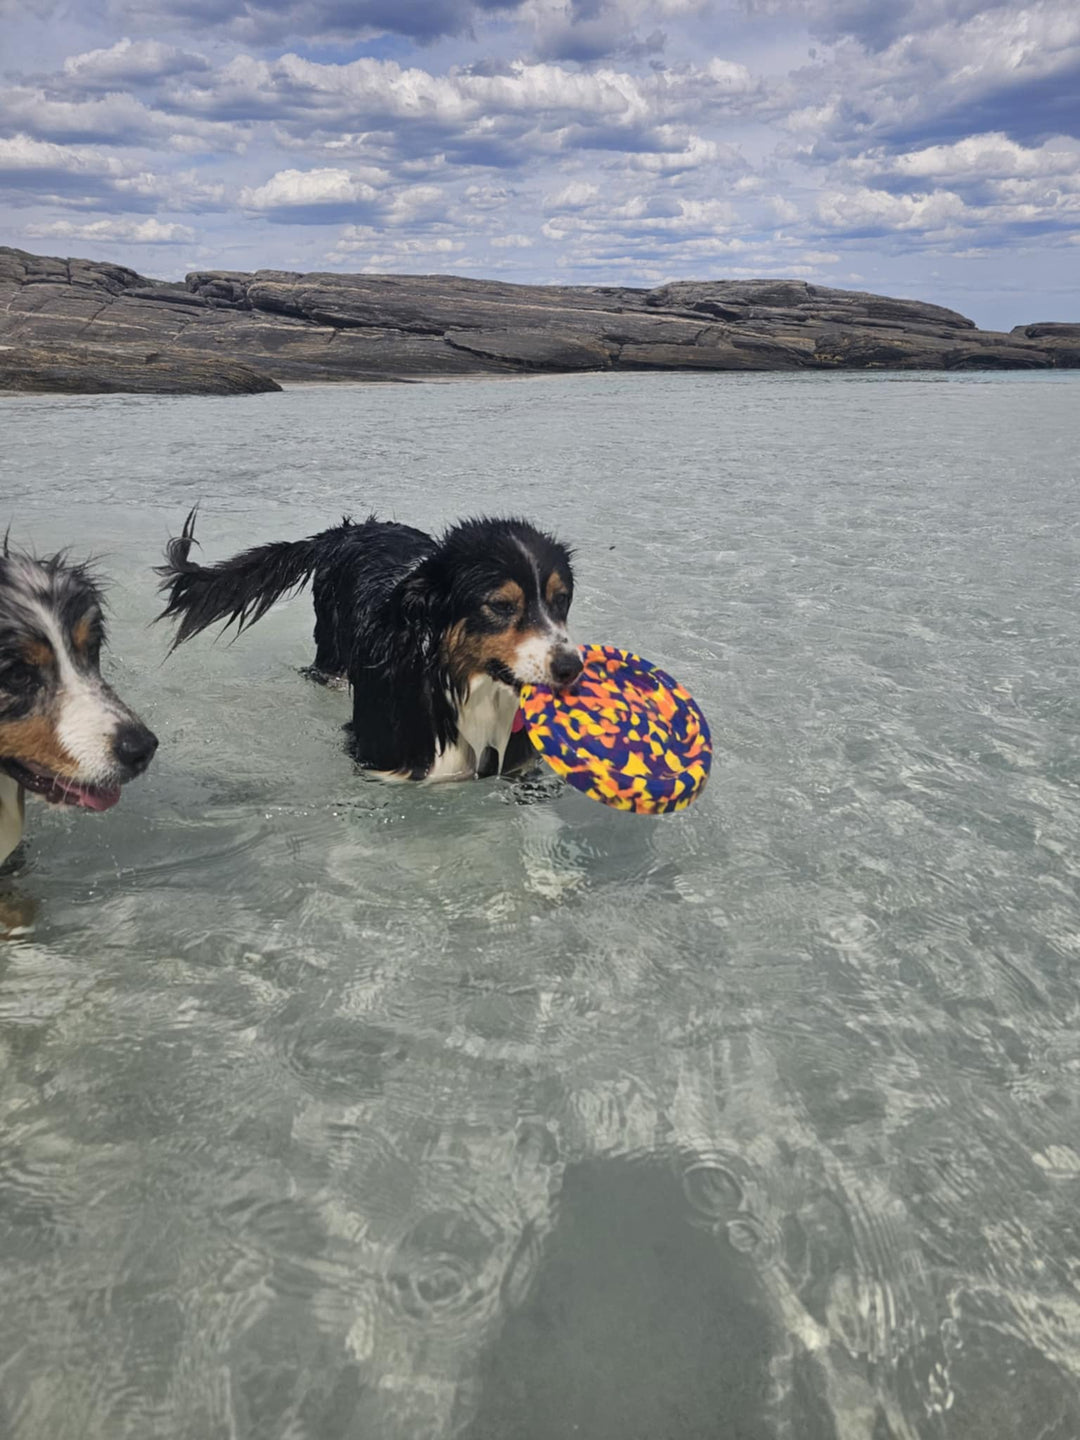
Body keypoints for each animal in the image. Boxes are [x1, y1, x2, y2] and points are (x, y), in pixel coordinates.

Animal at [155, 506, 584, 777]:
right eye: (499, 605)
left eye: (561, 599)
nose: (572, 667)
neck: (456, 685)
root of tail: (347, 530)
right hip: (330, 655)